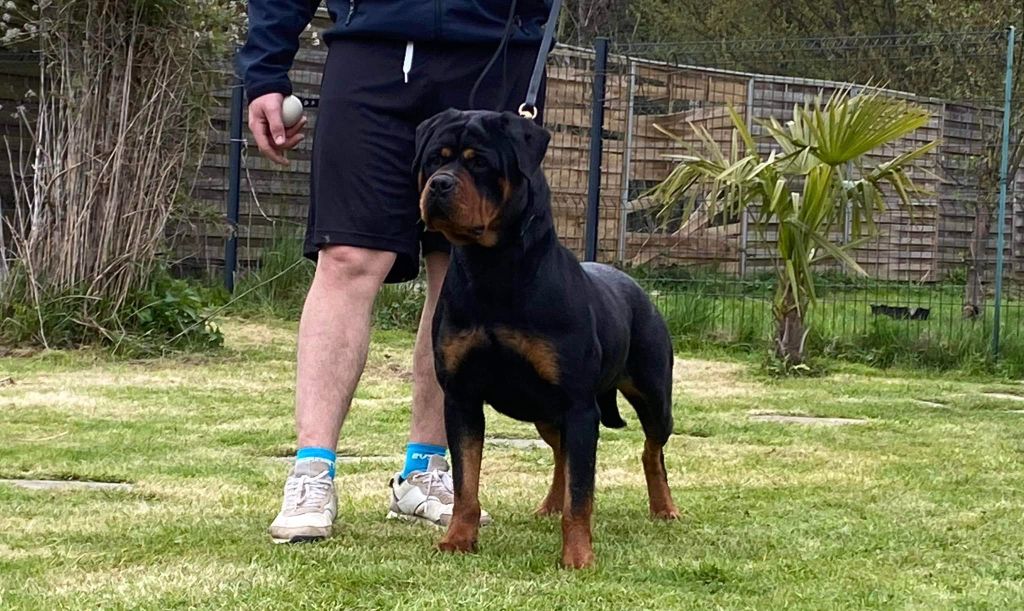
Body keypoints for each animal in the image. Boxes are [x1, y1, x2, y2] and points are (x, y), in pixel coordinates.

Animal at [411, 108, 675, 569]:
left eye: (479, 163)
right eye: (433, 160)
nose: (438, 185)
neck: (493, 269)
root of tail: (636, 287)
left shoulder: (578, 404)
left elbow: (581, 495)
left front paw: (578, 556)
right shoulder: (461, 398)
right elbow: (466, 484)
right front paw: (458, 539)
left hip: (653, 395)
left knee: (651, 449)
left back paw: (665, 508)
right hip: (545, 413)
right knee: (561, 454)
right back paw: (550, 504)